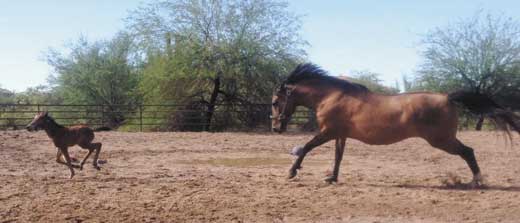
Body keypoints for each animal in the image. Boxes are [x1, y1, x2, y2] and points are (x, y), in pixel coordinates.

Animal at [272, 62, 520, 186]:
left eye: (275, 102)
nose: (276, 128)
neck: (332, 95)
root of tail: (447, 97)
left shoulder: (327, 132)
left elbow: (305, 148)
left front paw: (291, 173)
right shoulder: (339, 135)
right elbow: (338, 157)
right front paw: (331, 178)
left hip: (441, 140)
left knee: (468, 151)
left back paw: (477, 181)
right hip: (444, 139)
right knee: (468, 151)